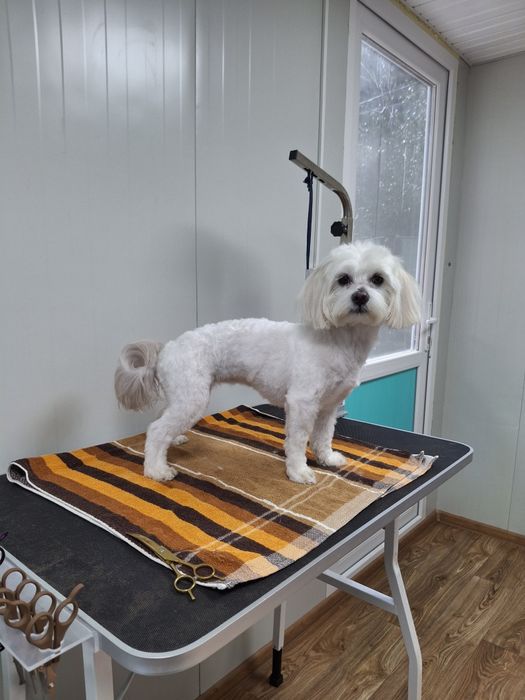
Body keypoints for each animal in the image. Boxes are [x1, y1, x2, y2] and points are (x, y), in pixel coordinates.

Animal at [115, 241, 420, 484]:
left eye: (378, 279)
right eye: (343, 279)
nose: (360, 296)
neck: (339, 340)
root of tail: (168, 348)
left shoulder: (329, 405)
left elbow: (323, 436)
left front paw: (326, 458)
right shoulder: (301, 401)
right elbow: (297, 440)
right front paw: (299, 472)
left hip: (181, 394)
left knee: (161, 420)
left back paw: (174, 440)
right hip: (192, 396)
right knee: (156, 431)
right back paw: (156, 470)